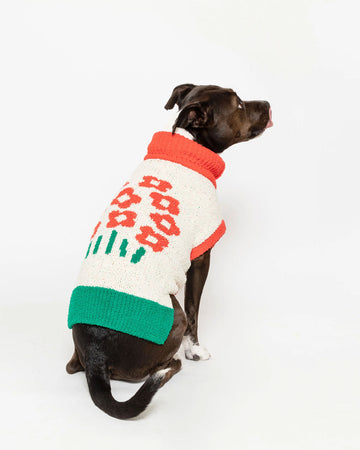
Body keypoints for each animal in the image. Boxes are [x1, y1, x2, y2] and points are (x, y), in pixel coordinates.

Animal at [66, 83, 272, 418]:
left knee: (72, 367)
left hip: (79, 354)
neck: (187, 145)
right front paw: (195, 351)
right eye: (239, 104)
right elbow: (196, 309)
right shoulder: (201, 257)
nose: (267, 102)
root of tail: (97, 357)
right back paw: (171, 366)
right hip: (174, 315)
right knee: (155, 365)